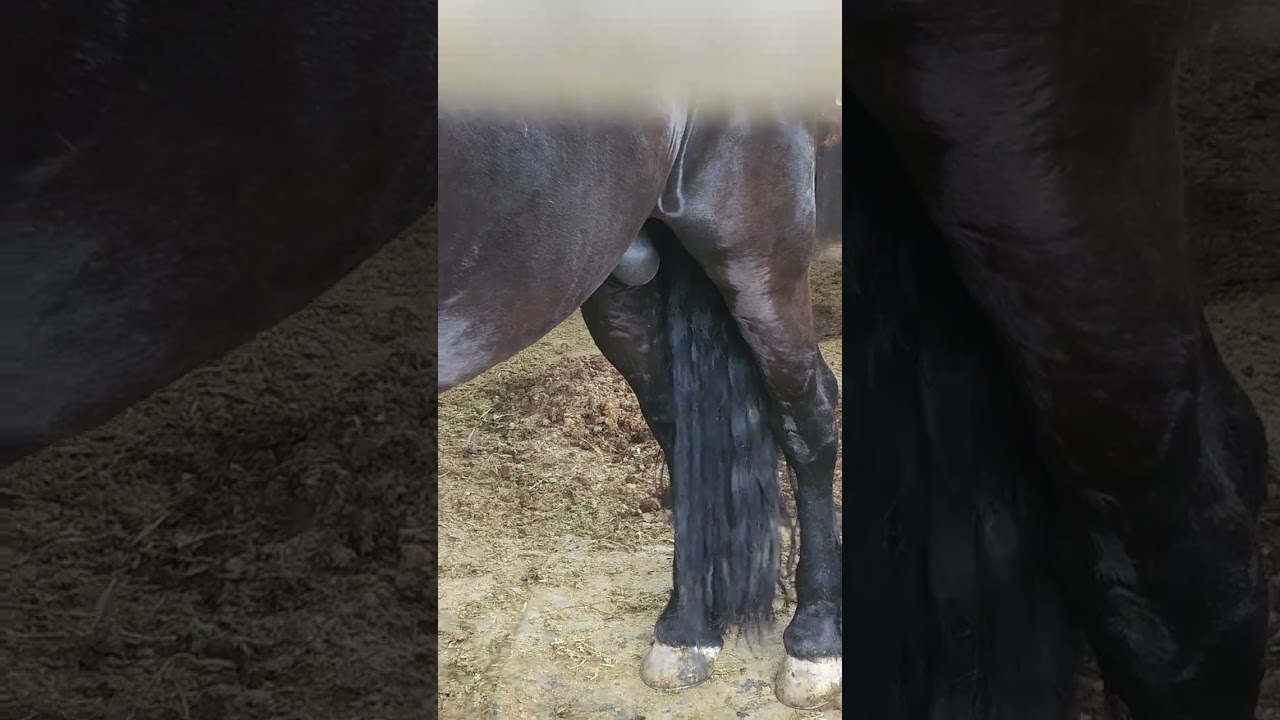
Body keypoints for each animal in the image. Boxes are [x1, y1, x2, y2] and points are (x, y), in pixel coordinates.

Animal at [438, 106, 845, 709]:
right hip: (621, 279)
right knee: (681, 434)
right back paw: (688, 630)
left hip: (756, 259)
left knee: (807, 418)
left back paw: (816, 636)